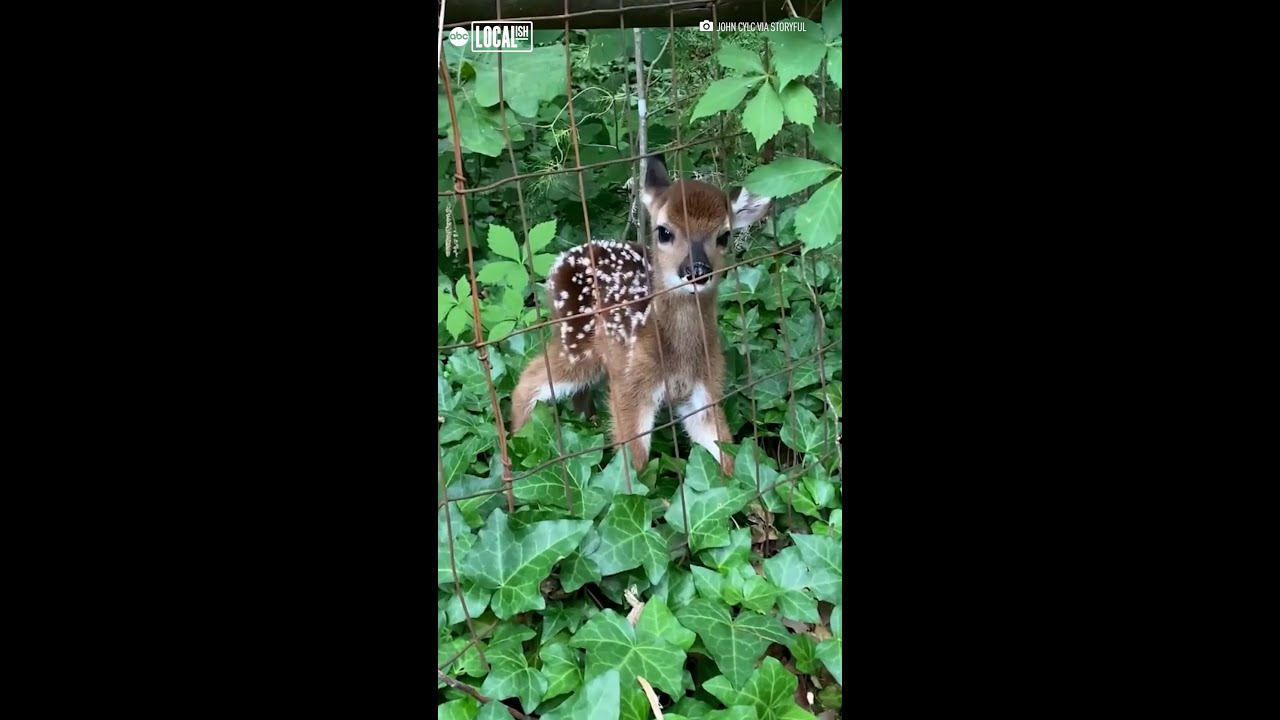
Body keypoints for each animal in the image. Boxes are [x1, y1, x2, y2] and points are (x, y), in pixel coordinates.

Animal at [510, 154, 773, 476]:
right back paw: (520, 447)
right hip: (576, 343)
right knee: (528, 380)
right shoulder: (630, 386)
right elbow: (634, 463)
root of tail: (561, 259)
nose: (696, 271)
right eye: (664, 231)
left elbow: (727, 452)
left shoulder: (705, 389)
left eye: (724, 236)